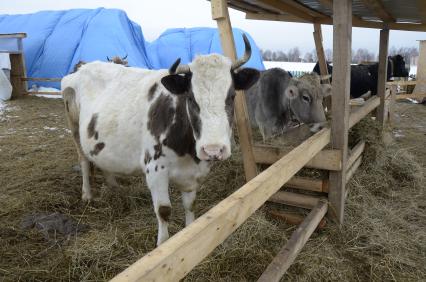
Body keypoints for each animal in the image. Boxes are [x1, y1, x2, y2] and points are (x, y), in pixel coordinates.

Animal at [60, 34, 260, 245]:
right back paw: (87, 194)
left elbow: (190, 206)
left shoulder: (193, 174)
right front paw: (162, 244)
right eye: (191, 98)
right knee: (83, 160)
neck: (188, 151)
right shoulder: (155, 169)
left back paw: (114, 187)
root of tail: (80, 68)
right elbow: (164, 211)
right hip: (74, 127)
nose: (213, 150)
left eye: (232, 96)